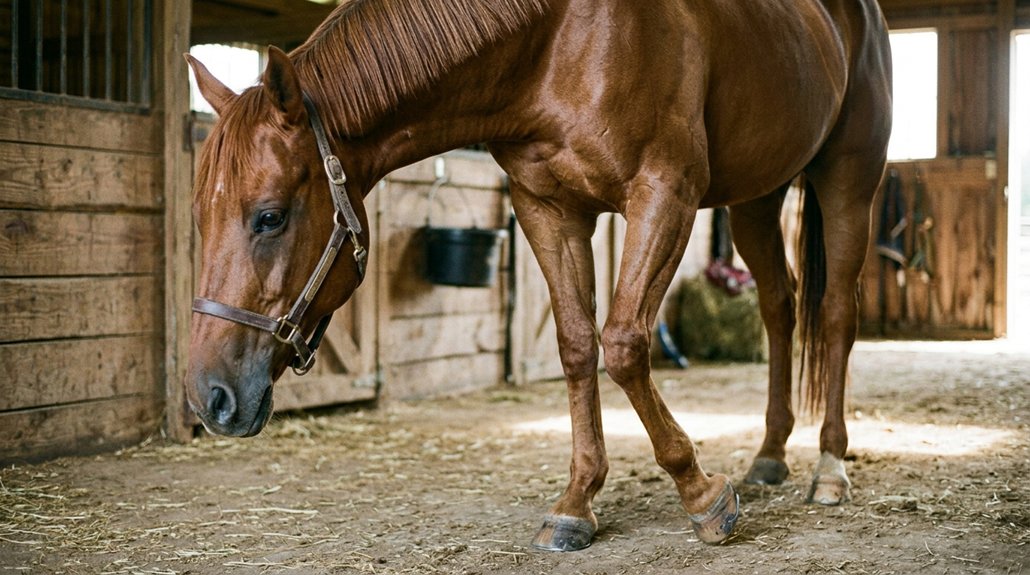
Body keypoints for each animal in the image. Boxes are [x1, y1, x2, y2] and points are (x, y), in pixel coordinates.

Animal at [185, 0, 892, 552]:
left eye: (270, 217)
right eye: (199, 215)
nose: (209, 397)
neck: (561, 35)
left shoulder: (666, 193)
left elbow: (625, 344)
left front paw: (701, 495)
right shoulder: (546, 207)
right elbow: (577, 346)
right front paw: (577, 502)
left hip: (849, 178)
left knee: (835, 313)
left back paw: (830, 469)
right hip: (758, 196)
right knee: (779, 307)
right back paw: (769, 457)